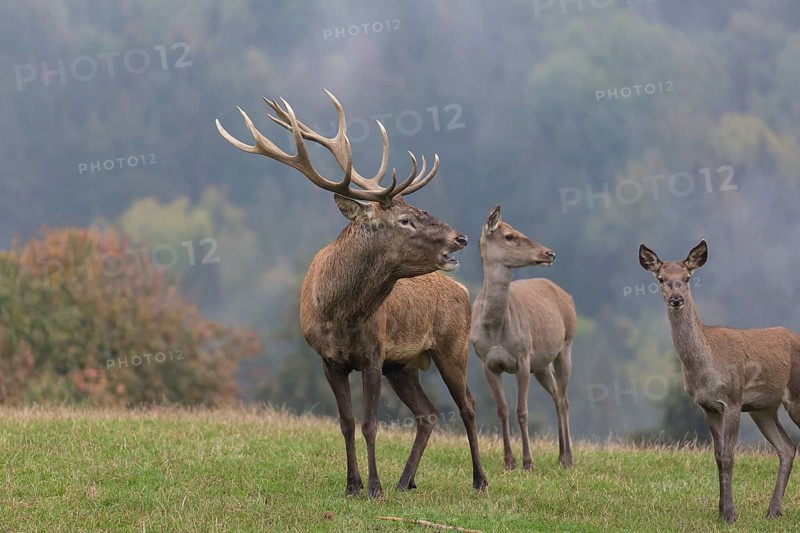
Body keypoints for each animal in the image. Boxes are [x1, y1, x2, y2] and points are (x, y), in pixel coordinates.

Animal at [216, 90, 487, 498]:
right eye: (405, 219)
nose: (462, 237)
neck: (340, 313)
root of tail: (461, 288)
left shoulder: (374, 353)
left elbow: (370, 423)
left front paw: (373, 487)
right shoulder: (329, 360)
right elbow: (346, 423)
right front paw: (353, 485)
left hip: (451, 345)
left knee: (468, 405)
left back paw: (479, 479)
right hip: (403, 365)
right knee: (428, 413)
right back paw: (405, 481)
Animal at [470, 205, 576, 471]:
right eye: (510, 236)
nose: (549, 253)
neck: (495, 328)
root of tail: (567, 296)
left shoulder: (522, 358)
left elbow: (522, 411)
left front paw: (528, 462)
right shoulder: (487, 362)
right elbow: (502, 409)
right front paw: (508, 461)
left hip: (566, 345)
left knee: (564, 399)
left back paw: (568, 458)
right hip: (541, 364)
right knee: (556, 395)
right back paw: (560, 455)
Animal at [639, 240, 800, 523]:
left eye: (687, 277)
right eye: (660, 279)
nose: (677, 299)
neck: (706, 365)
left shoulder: (733, 399)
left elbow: (728, 456)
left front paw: (730, 514)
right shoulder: (708, 406)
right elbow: (716, 455)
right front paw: (721, 510)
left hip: (796, 394)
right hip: (763, 409)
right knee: (787, 448)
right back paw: (773, 511)